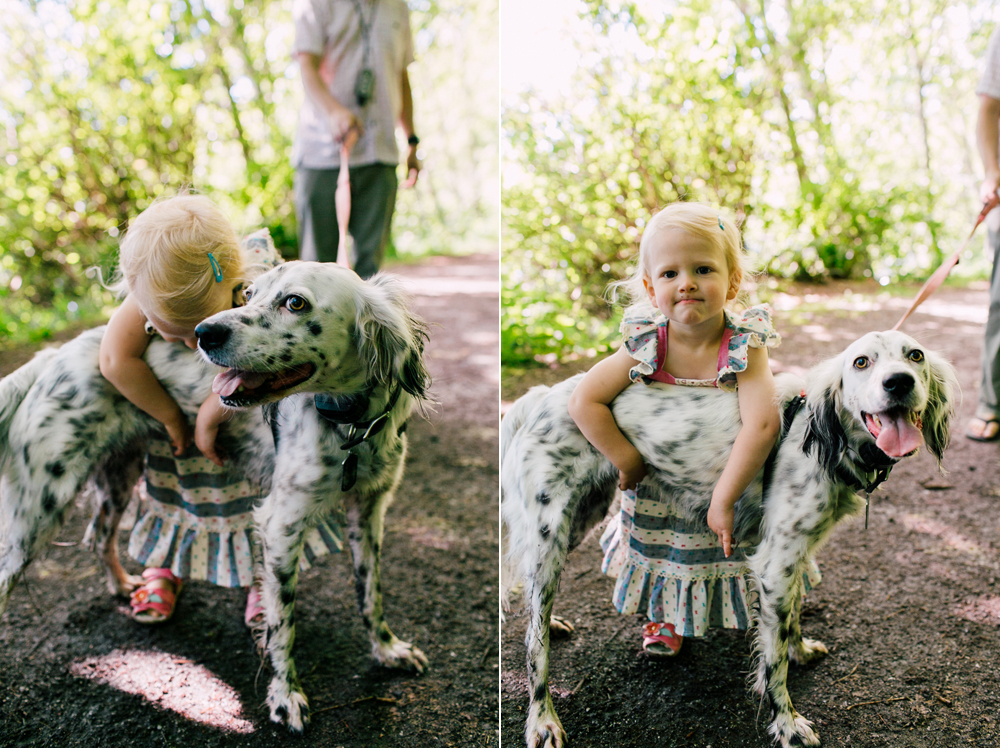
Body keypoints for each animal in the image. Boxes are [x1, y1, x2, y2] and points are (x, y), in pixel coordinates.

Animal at [0, 260, 430, 728]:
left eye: (295, 303)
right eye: (250, 294)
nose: (204, 332)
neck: (350, 425)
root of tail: (51, 358)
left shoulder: (369, 512)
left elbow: (370, 594)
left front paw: (387, 649)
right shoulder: (282, 525)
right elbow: (283, 623)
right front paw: (285, 695)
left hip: (118, 473)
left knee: (98, 535)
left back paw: (122, 585)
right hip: (36, 509)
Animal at [504, 330, 956, 748]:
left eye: (915, 356)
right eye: (862, 362)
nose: (898, 382)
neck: (823, 439)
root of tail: (541, 396)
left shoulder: (793, 555)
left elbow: (791, 616)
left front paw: (800, 649)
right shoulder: (775, 562)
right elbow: (773, 661)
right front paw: (787, 723)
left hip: (580, 518)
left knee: (529, 603)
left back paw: (552, 624)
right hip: (550, 535)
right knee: (533, 643)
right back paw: (542, 719)